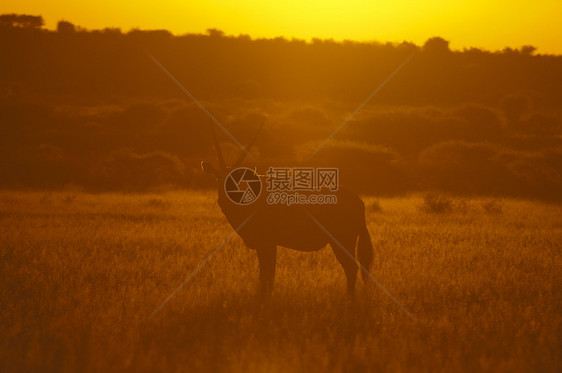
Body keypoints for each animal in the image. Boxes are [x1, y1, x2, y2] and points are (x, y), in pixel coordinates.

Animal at [199, 123, 374, 298]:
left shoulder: (267, 243)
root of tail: (359, 202)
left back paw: (349, 298)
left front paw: (265, 298)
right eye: (218, 178)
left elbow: (266, 273)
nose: (223, 200)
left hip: (342, 241)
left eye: (236, 180)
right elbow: (268, 273)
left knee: (352, 268)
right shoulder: (268, 245)